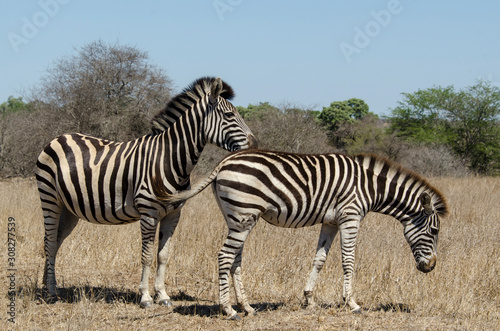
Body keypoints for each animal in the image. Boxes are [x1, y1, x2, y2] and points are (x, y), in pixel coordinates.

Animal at [35, 76, 258, 308]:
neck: (169, 159)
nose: (255, 144)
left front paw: (163, 295)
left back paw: (47, 284)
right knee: (50, 242)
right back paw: (51, 292)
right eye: (229, 115)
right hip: (50, 198)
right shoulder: (148, 213)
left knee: (54, 241)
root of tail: (59, 137)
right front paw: (145, 297)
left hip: (69, 209)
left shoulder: (173, 214)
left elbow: (163, 255)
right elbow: (147, 255)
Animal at [154, 150, 448, 320]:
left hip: (237, 217)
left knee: (235, 258)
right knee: (225, 256)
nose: (432, 267)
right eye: (434, 231)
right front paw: (352, 303)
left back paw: (247, 307)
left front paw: (309, 299)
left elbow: (320, 259)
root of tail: (224, 161)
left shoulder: (330, 221)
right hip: (244, 214)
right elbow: (348, 261)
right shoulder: (350, 217)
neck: (369, 187)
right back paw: (228, 309)